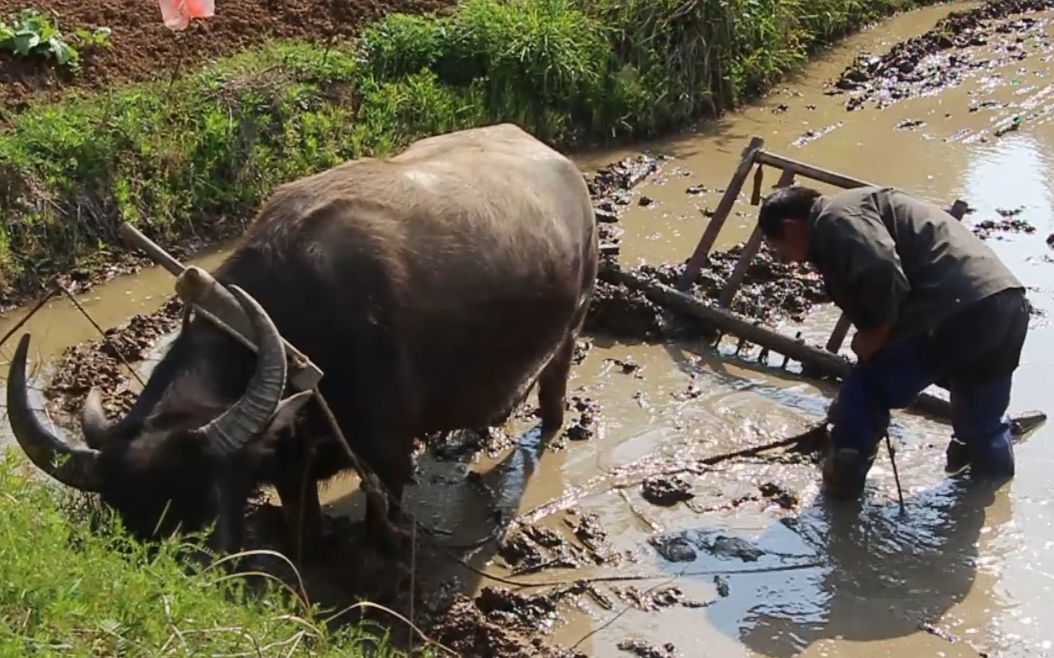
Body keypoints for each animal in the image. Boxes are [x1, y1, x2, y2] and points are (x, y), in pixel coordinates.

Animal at [8, 123, 598, 556]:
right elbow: (303, 518)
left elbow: (383, 514)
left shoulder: (386, 451)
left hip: (572, 326)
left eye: (204, 516)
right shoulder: (292, 457)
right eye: (120, 521)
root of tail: (566, 169)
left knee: (553, 386)